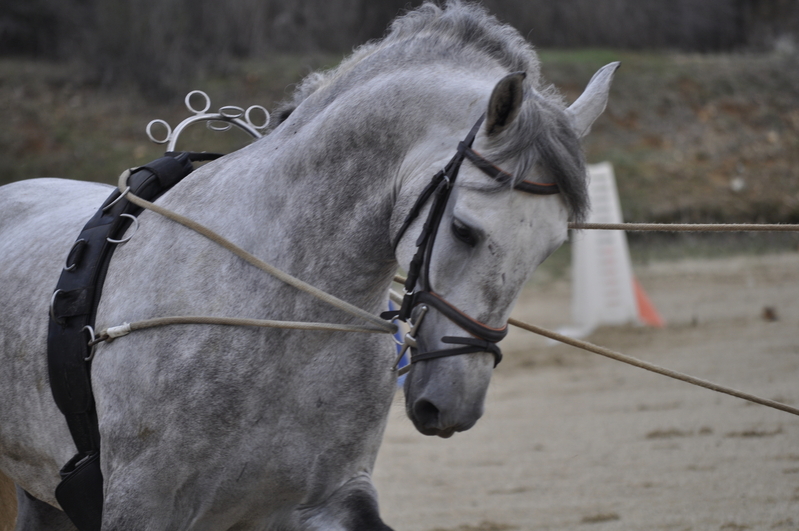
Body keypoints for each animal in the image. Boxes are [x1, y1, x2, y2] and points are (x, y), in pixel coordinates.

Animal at [0, 2, 617, 529]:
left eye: (552, 245)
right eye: (465, 229)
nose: (453, 403)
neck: (285, 321)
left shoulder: (326, 500)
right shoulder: (140, 506)